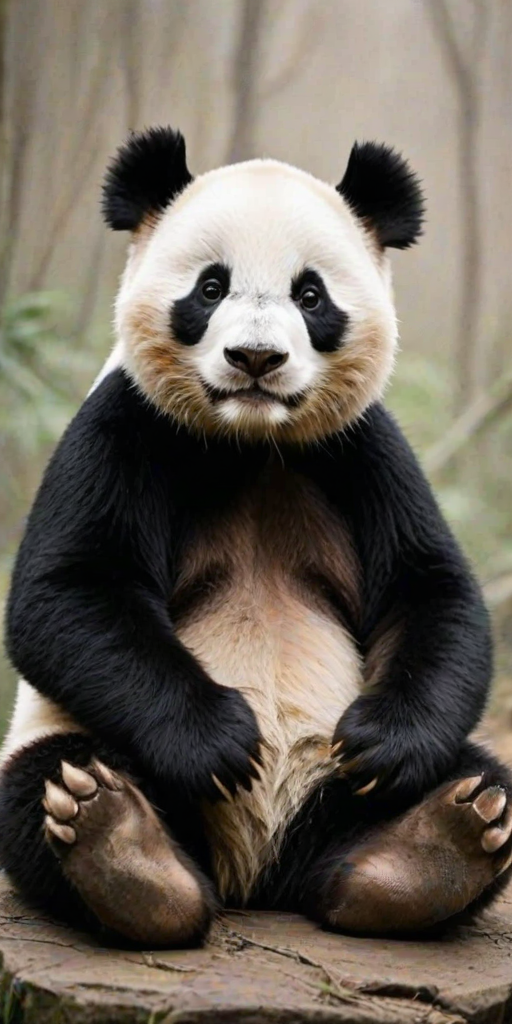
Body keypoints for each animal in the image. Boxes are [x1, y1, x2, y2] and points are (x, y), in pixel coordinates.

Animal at [1, 126, 511, 948]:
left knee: (476, 778)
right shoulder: (125, 425)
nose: (256, 359)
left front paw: (383, 743)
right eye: (210, 288)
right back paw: (126, 852)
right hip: (79, 742)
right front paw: (220, 740)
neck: (250, 439)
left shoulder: (361, 452)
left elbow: (431, 591)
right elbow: (66, 592)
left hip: (332, 791)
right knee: (45, 780)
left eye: (311, 295)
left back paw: (427, 848)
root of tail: (257, 875)